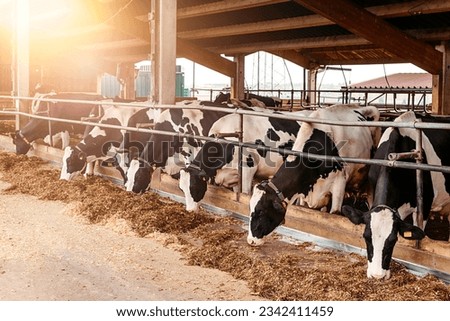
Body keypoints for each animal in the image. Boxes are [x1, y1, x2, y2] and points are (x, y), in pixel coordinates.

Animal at [246, 104, 380, 246]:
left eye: (261, 211)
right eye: (250, 208)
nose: (251, 240)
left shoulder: (339, 182)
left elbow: (335, 213)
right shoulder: (305, 192)